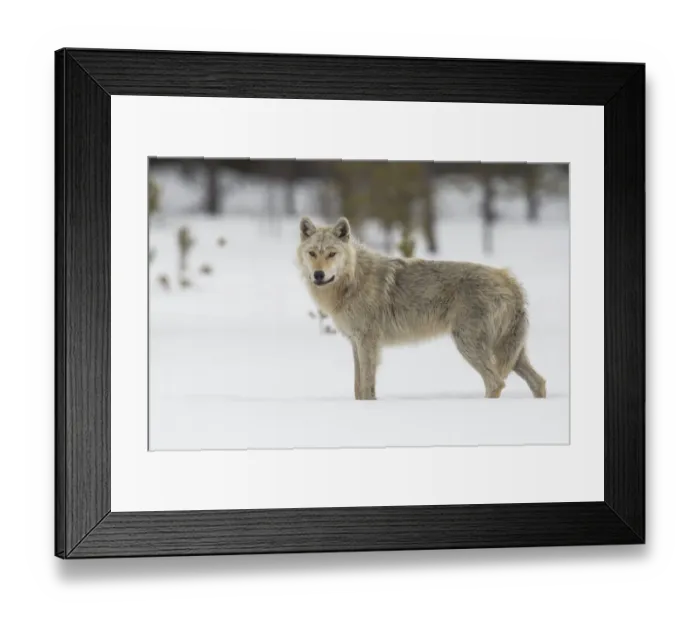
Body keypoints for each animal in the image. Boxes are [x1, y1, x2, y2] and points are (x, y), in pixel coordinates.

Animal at [296, 216, 547, 401]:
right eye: (313, 253)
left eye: (331, 253)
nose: (318, 274)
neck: (352, 281)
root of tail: (509, 279)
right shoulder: (355, 342)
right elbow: (358, 388)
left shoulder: (367, 342)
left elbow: (366, 387)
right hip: (509, 352)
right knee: (539, 382)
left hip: (469, 345)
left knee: (495, 382)